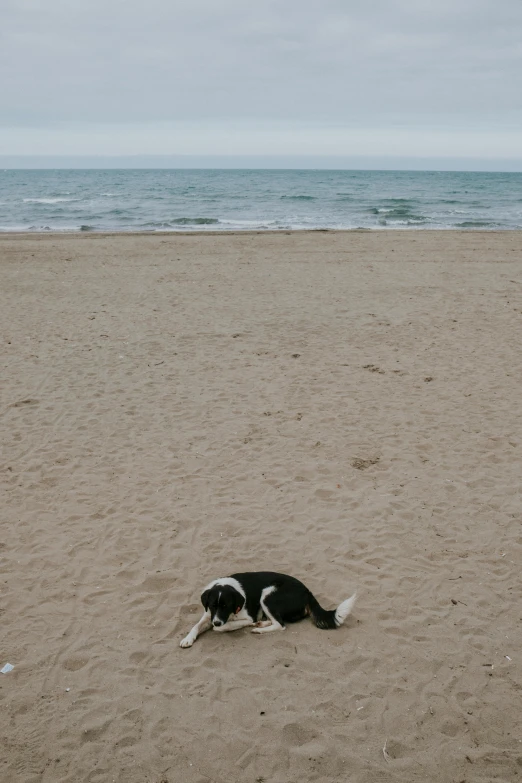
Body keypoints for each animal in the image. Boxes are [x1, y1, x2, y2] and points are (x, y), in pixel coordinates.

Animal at [178, 568, 354, 648]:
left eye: (226, 606)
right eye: (213, 605)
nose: (216, 622)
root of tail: (307, 592)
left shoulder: (245, 617)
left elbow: (227, 626)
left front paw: (225, 627)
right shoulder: (209, 615)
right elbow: (196, 626)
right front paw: (188, 639)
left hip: (267, 594)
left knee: (280, 625)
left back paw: (258, 628)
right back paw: (261, 623)